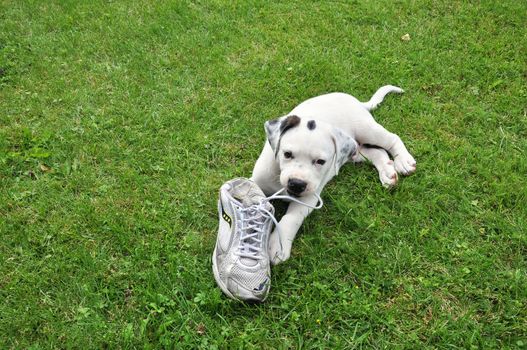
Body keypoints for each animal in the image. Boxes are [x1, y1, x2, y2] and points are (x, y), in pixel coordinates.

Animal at [251, 85, 416, 266]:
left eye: (320, 161)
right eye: (287, 154)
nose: (296, 184)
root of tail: (357, 102)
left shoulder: (308, 199)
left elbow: (290, 219)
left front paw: (279, 245)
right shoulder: (256, 182)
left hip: (367, 130)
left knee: (392, 139)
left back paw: (404, 161)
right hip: (355, 151)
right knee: (377, 152)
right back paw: (387, 171)